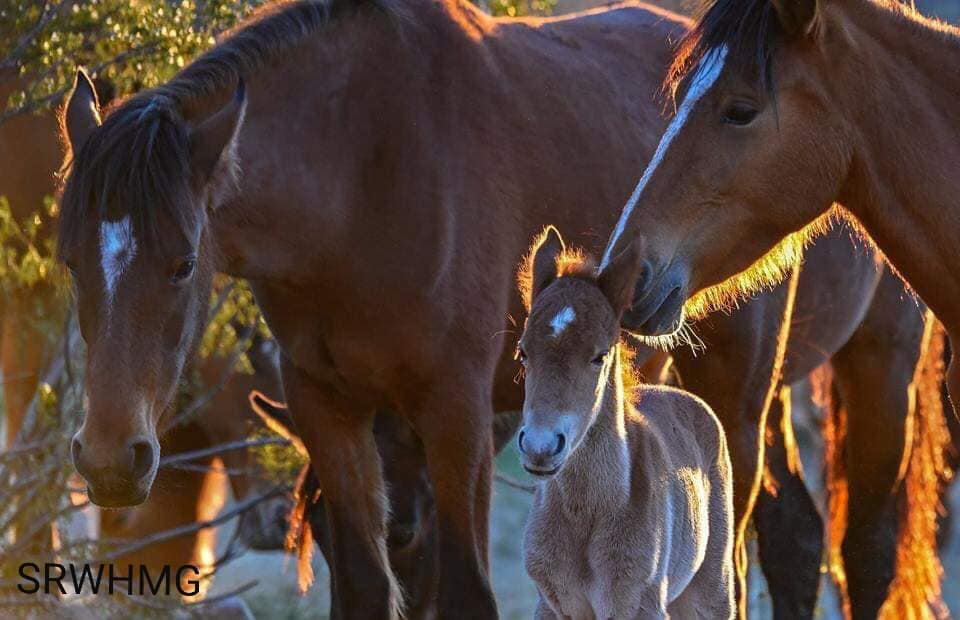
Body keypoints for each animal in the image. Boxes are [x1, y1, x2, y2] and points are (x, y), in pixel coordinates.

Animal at [57, 1, 692, 615]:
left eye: (184, 264)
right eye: (70, 260)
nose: (112, 460)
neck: (363, 183)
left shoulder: (457, 411)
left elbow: (466, 592)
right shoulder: (325, 406)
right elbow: (364, 584)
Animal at [517, 227, 735, 619]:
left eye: (599, 356)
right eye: (523, 351)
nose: (540, 447)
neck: (586, 513)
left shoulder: (639, 605)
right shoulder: (553, 605)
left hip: (711, 591)